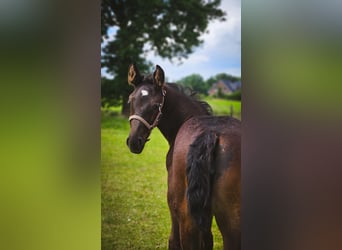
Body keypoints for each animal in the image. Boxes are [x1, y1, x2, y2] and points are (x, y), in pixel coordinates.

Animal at [125, 63, 240, 249]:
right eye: (130, 101)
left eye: (156, 106)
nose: (134, 142)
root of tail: (211, 134)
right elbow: (207, 240)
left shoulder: (172, 201)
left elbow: (173, 239)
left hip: (188, 214)